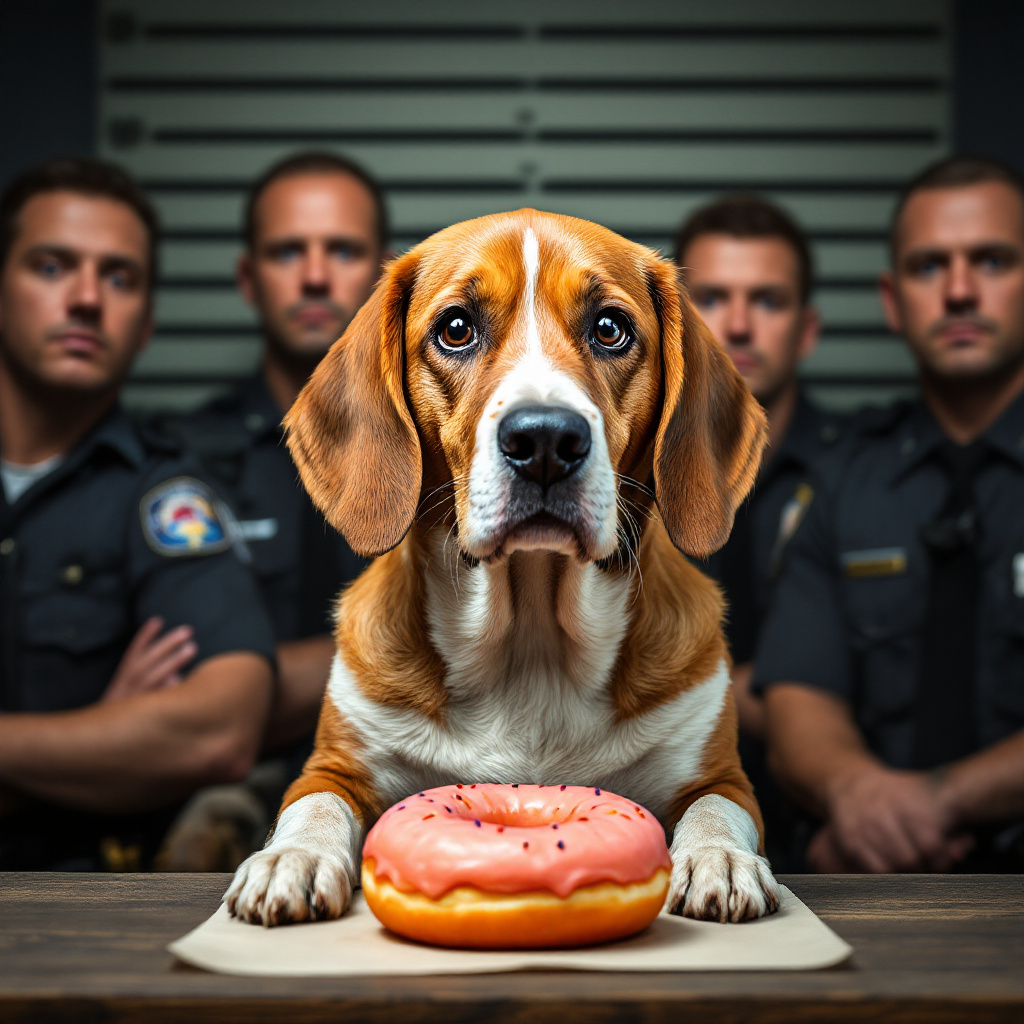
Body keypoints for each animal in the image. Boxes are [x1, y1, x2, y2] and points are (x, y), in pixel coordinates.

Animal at [228, 207, 778, 929]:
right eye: (456, 328)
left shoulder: (721, 777)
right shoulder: (332, 767)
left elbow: (717, 810)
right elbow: (314, 807)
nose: (545, 439)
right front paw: (290, 858)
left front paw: (719, 857)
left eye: (610, 328)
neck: (531, 636)